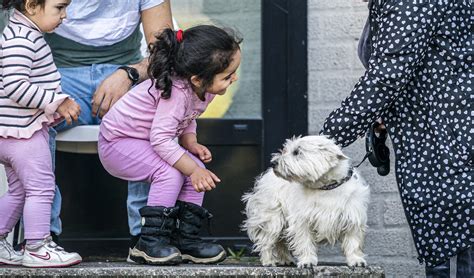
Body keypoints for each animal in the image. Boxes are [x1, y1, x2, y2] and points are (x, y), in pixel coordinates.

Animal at [243, 136, 368, 268]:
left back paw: (285, 259)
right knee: (267, 240)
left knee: (281, 242)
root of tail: (266, 175)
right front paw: (307, 261)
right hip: (272, 217)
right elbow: (305, 241)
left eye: (297, 152)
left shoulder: (353, 218)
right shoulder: (302, 220)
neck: (325, 187)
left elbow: (353, 242)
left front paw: (356, 260)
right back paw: (268, 260)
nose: (273, 163)